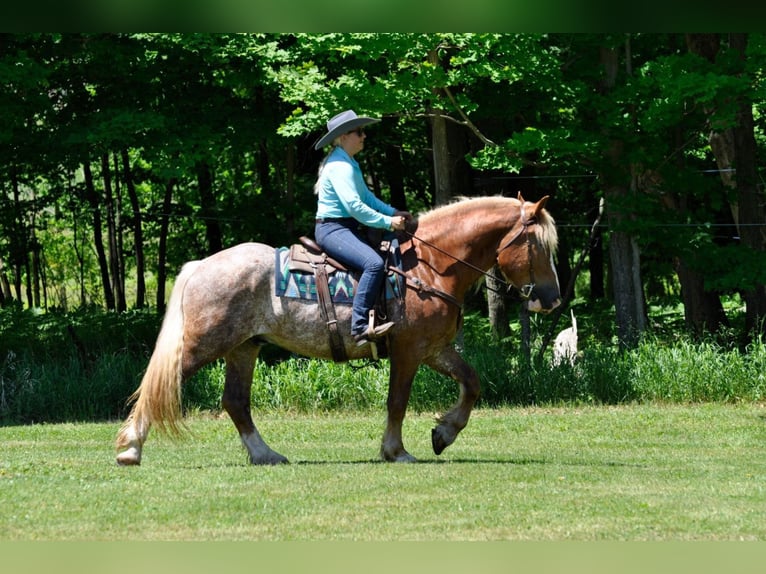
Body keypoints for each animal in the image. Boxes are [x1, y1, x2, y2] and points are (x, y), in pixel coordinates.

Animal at [117, 196, 564, 466]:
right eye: (538, 245)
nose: (552, 298)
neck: (429, 268)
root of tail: (201, 265)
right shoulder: (408, 350)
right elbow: (397, 402)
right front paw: (396, 451)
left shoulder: (434, 349)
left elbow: (472, 383)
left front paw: (444, 433)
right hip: (204, 346)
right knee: (158, 387)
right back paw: (131, 448)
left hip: (244, 348)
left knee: (236, 403)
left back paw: (265, 454)